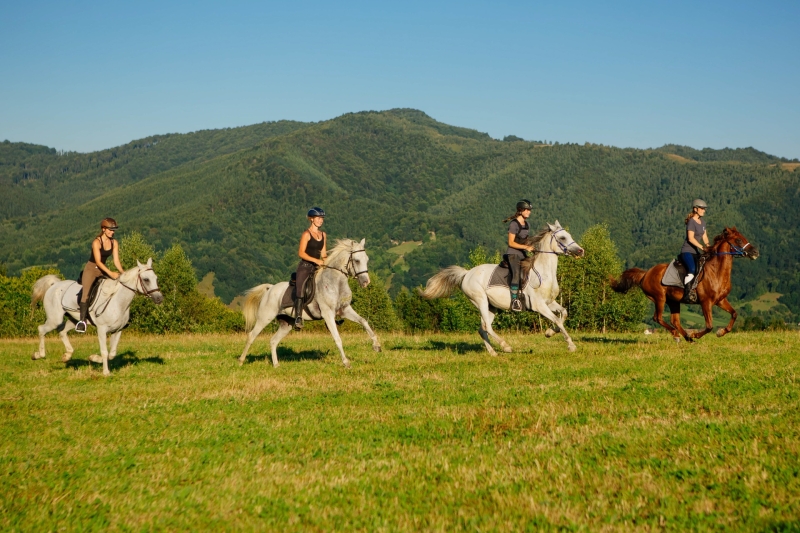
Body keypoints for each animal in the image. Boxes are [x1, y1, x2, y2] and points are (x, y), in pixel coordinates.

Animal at [422, 222, 584, 356]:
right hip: (480, 300)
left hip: (491, 306)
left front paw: (549, 333)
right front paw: (571, 345)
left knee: (482, 329)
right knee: (487, 327)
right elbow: (557, 320)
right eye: (562, 237)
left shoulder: (549, 302)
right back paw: (506, 346)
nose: (580, 251)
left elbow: (563, 313)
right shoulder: (539, 306)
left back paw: (493, 352)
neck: (543, 272)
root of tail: (467, 273)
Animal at [612, 227, 756, 342]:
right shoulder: (706, 302)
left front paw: (720, 332)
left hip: (673, 301)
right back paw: (679, 335)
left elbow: (734, 314)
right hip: (659, 298)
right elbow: (709, 326)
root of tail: (646, 273)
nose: (755, 252)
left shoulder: (720, 300)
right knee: (657, 318)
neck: (716, 271)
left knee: (674, 321)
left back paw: (687, 337)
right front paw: (696, 334)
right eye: (738, 240)